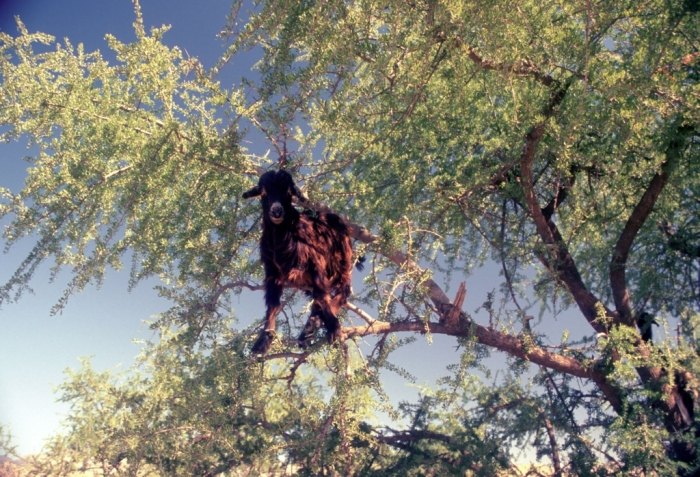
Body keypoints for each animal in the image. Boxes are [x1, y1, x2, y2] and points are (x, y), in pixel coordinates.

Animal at [243, 170, 360, 354]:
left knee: (341, 290)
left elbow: (322, 295)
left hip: (343, 262)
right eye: (263, 192)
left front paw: (334, 327)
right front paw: (263, 340)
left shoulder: (315, 262)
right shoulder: (272, 270)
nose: (277, 211)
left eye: (288, 192)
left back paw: (323, 321)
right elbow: (273, 302)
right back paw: (308, 331)